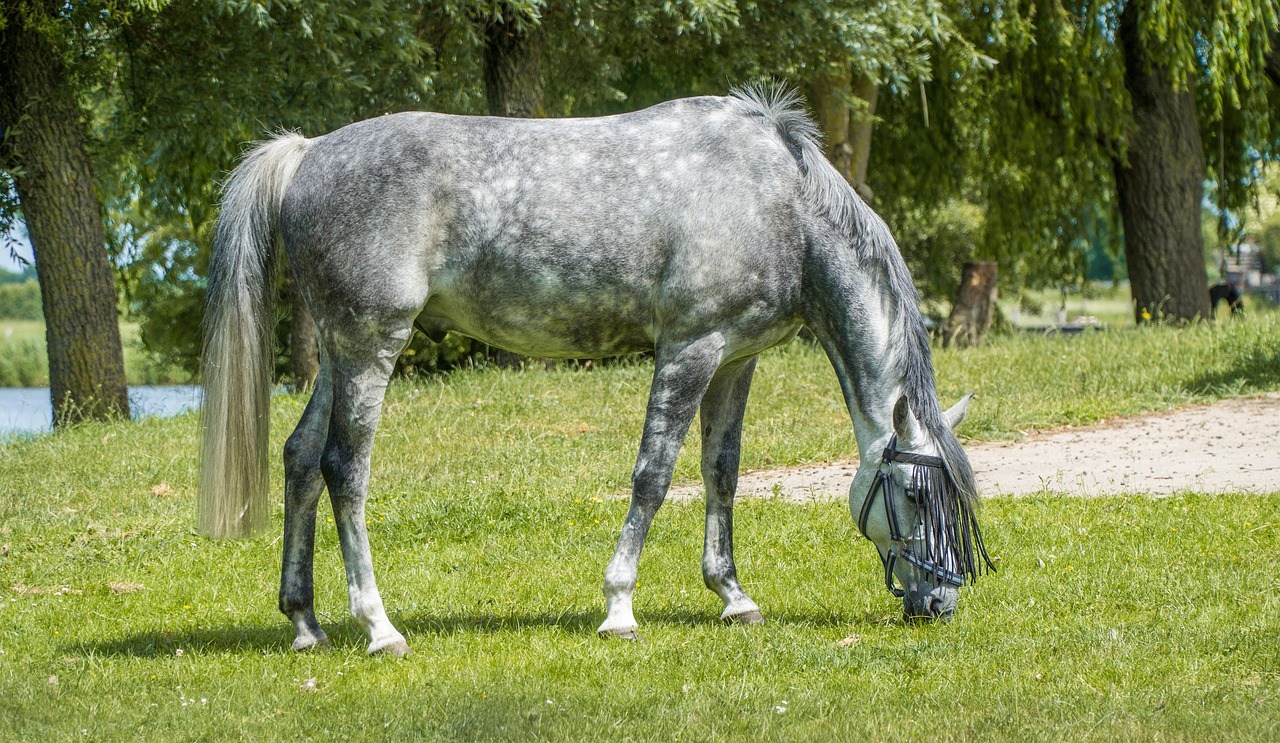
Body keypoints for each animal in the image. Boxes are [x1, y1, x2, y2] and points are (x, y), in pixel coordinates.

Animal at [199, 88, 993, 655]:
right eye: (915, 495)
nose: (940, 601)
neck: (780, 203)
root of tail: (306, 154)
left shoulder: (736, 358)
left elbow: (721, 472)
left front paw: (733, 596)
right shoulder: (690, 348)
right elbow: (653, 474)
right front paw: (619, 607)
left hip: (338, 355)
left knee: (301, 459)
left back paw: (305, 623)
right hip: (370, 347)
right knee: (344, 468)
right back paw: (378, 627)